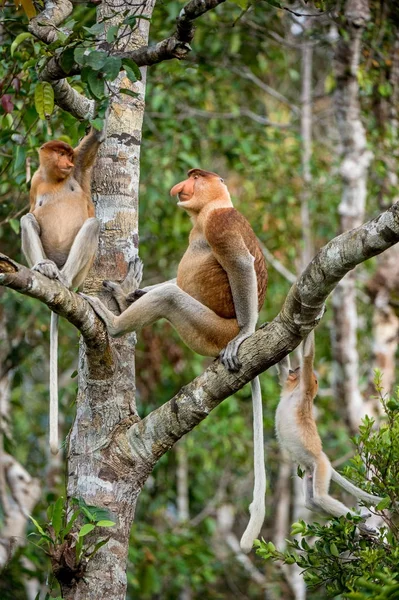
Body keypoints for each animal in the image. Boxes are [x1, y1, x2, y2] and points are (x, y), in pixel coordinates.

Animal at [20, 124, 108, 458]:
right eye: (60, 153)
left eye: (70, 155)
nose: (67, 162)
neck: (56, 179)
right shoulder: (35, 182)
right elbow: (31, 210)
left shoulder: (80, 170)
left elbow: (95, 142)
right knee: (27, 218)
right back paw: (45, 270)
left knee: (92, 223)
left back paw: (65, 279)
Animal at [81, 169, 268, 552]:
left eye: (195, 177)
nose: (179, 189)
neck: (209, 209)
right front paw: (131, 291)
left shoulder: (220, 224)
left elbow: (240, 264)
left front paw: (246, 333)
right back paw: (125, 297)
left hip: (211, 330)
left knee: (171, 296)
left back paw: (115, 322)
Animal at [276, 330, 386, 532]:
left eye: (297, 369)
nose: (293, 370)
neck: (293, 393)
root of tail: (323, 457)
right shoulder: (290, 387)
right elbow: (282, 369)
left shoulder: (305, 386)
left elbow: (307, 356)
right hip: (311, 470)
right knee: (311, 502)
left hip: (321, 466)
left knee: (319, 498)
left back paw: (360, 522)